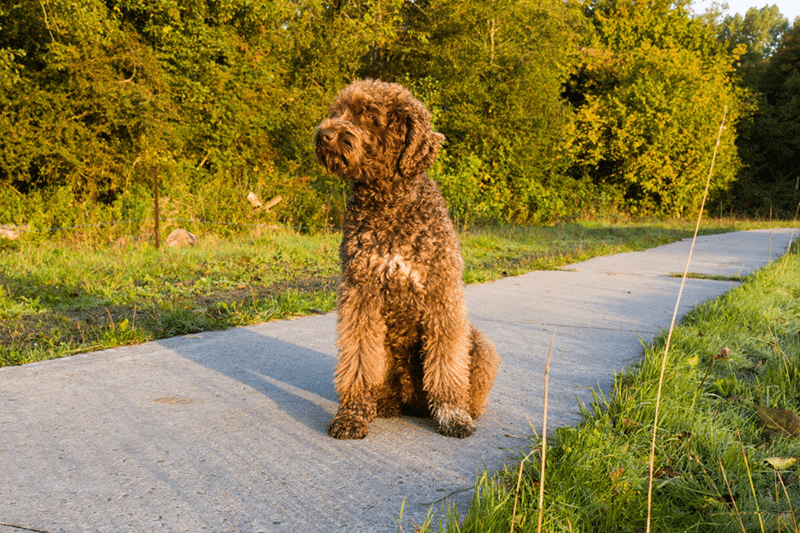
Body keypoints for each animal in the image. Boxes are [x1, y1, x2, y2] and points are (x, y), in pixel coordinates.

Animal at [314, 78, 496, 436]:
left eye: (369, 114)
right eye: (337, 111)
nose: (324, 134)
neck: (389, 203)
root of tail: (414, 404)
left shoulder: (442, 295)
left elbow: (446, 362)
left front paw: (452, 414)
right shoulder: (360, 294)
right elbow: (358, 361)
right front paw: (352, 415)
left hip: (481, 346)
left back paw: (464, 409)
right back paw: (383, 404)